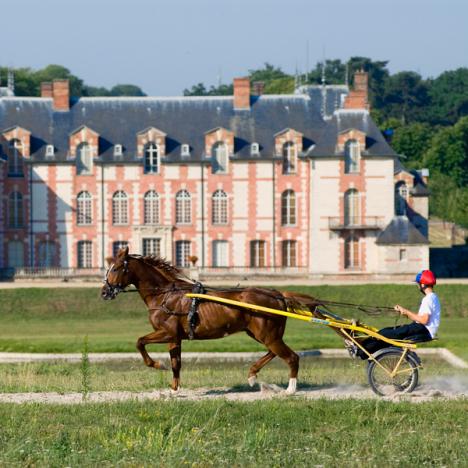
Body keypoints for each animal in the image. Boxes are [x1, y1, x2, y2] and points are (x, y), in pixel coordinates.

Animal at [98, 247, 318, 394]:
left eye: (116, 268)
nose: (104, 292)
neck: (166, 295)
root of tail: (276, 294)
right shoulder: (175, 338)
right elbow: (176, 363)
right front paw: (174, 390)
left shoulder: (167, 332)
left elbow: (140, 342)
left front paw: (158, 365)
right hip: (261, 334)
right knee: (274, 352)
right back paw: (253, 375)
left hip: (267, 334)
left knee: (291, 357)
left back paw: (290, 390)